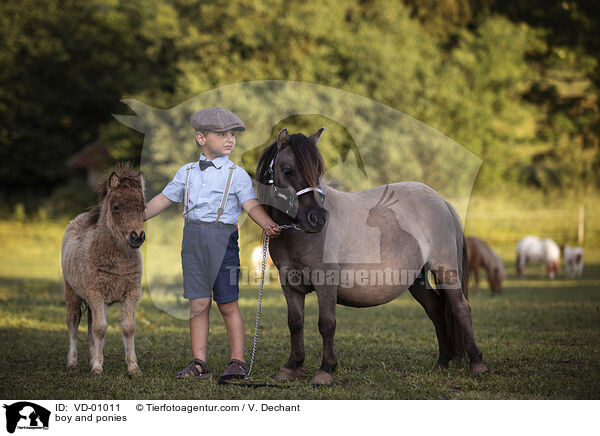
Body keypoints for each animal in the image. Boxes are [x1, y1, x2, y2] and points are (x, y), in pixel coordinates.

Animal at [61, 162, 146, 376]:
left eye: (143, 207)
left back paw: (90, 357)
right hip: (72, 293)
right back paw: (72, 362)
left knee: (90, 323)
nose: (137, 237)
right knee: (73, 323)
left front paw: (133, 367)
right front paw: (97, 368)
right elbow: (100, 328)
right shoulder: (96, 293)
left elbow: (128, 328)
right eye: (116, 207)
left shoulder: (131, 294)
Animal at [256, 127, 488, 384]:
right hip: (416, 279)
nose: (318, 218)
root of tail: (440, 200)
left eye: (317, 172)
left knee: (460, 308)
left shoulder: (325, 282)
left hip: (445, 269)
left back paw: (477, 363)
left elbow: (326, 323)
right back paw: (442, 363)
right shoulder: (289, 284)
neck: (296, 235)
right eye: (288, 170)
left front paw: (325, 370)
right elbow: (295, 323)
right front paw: (291, 367)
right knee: (436, 309)